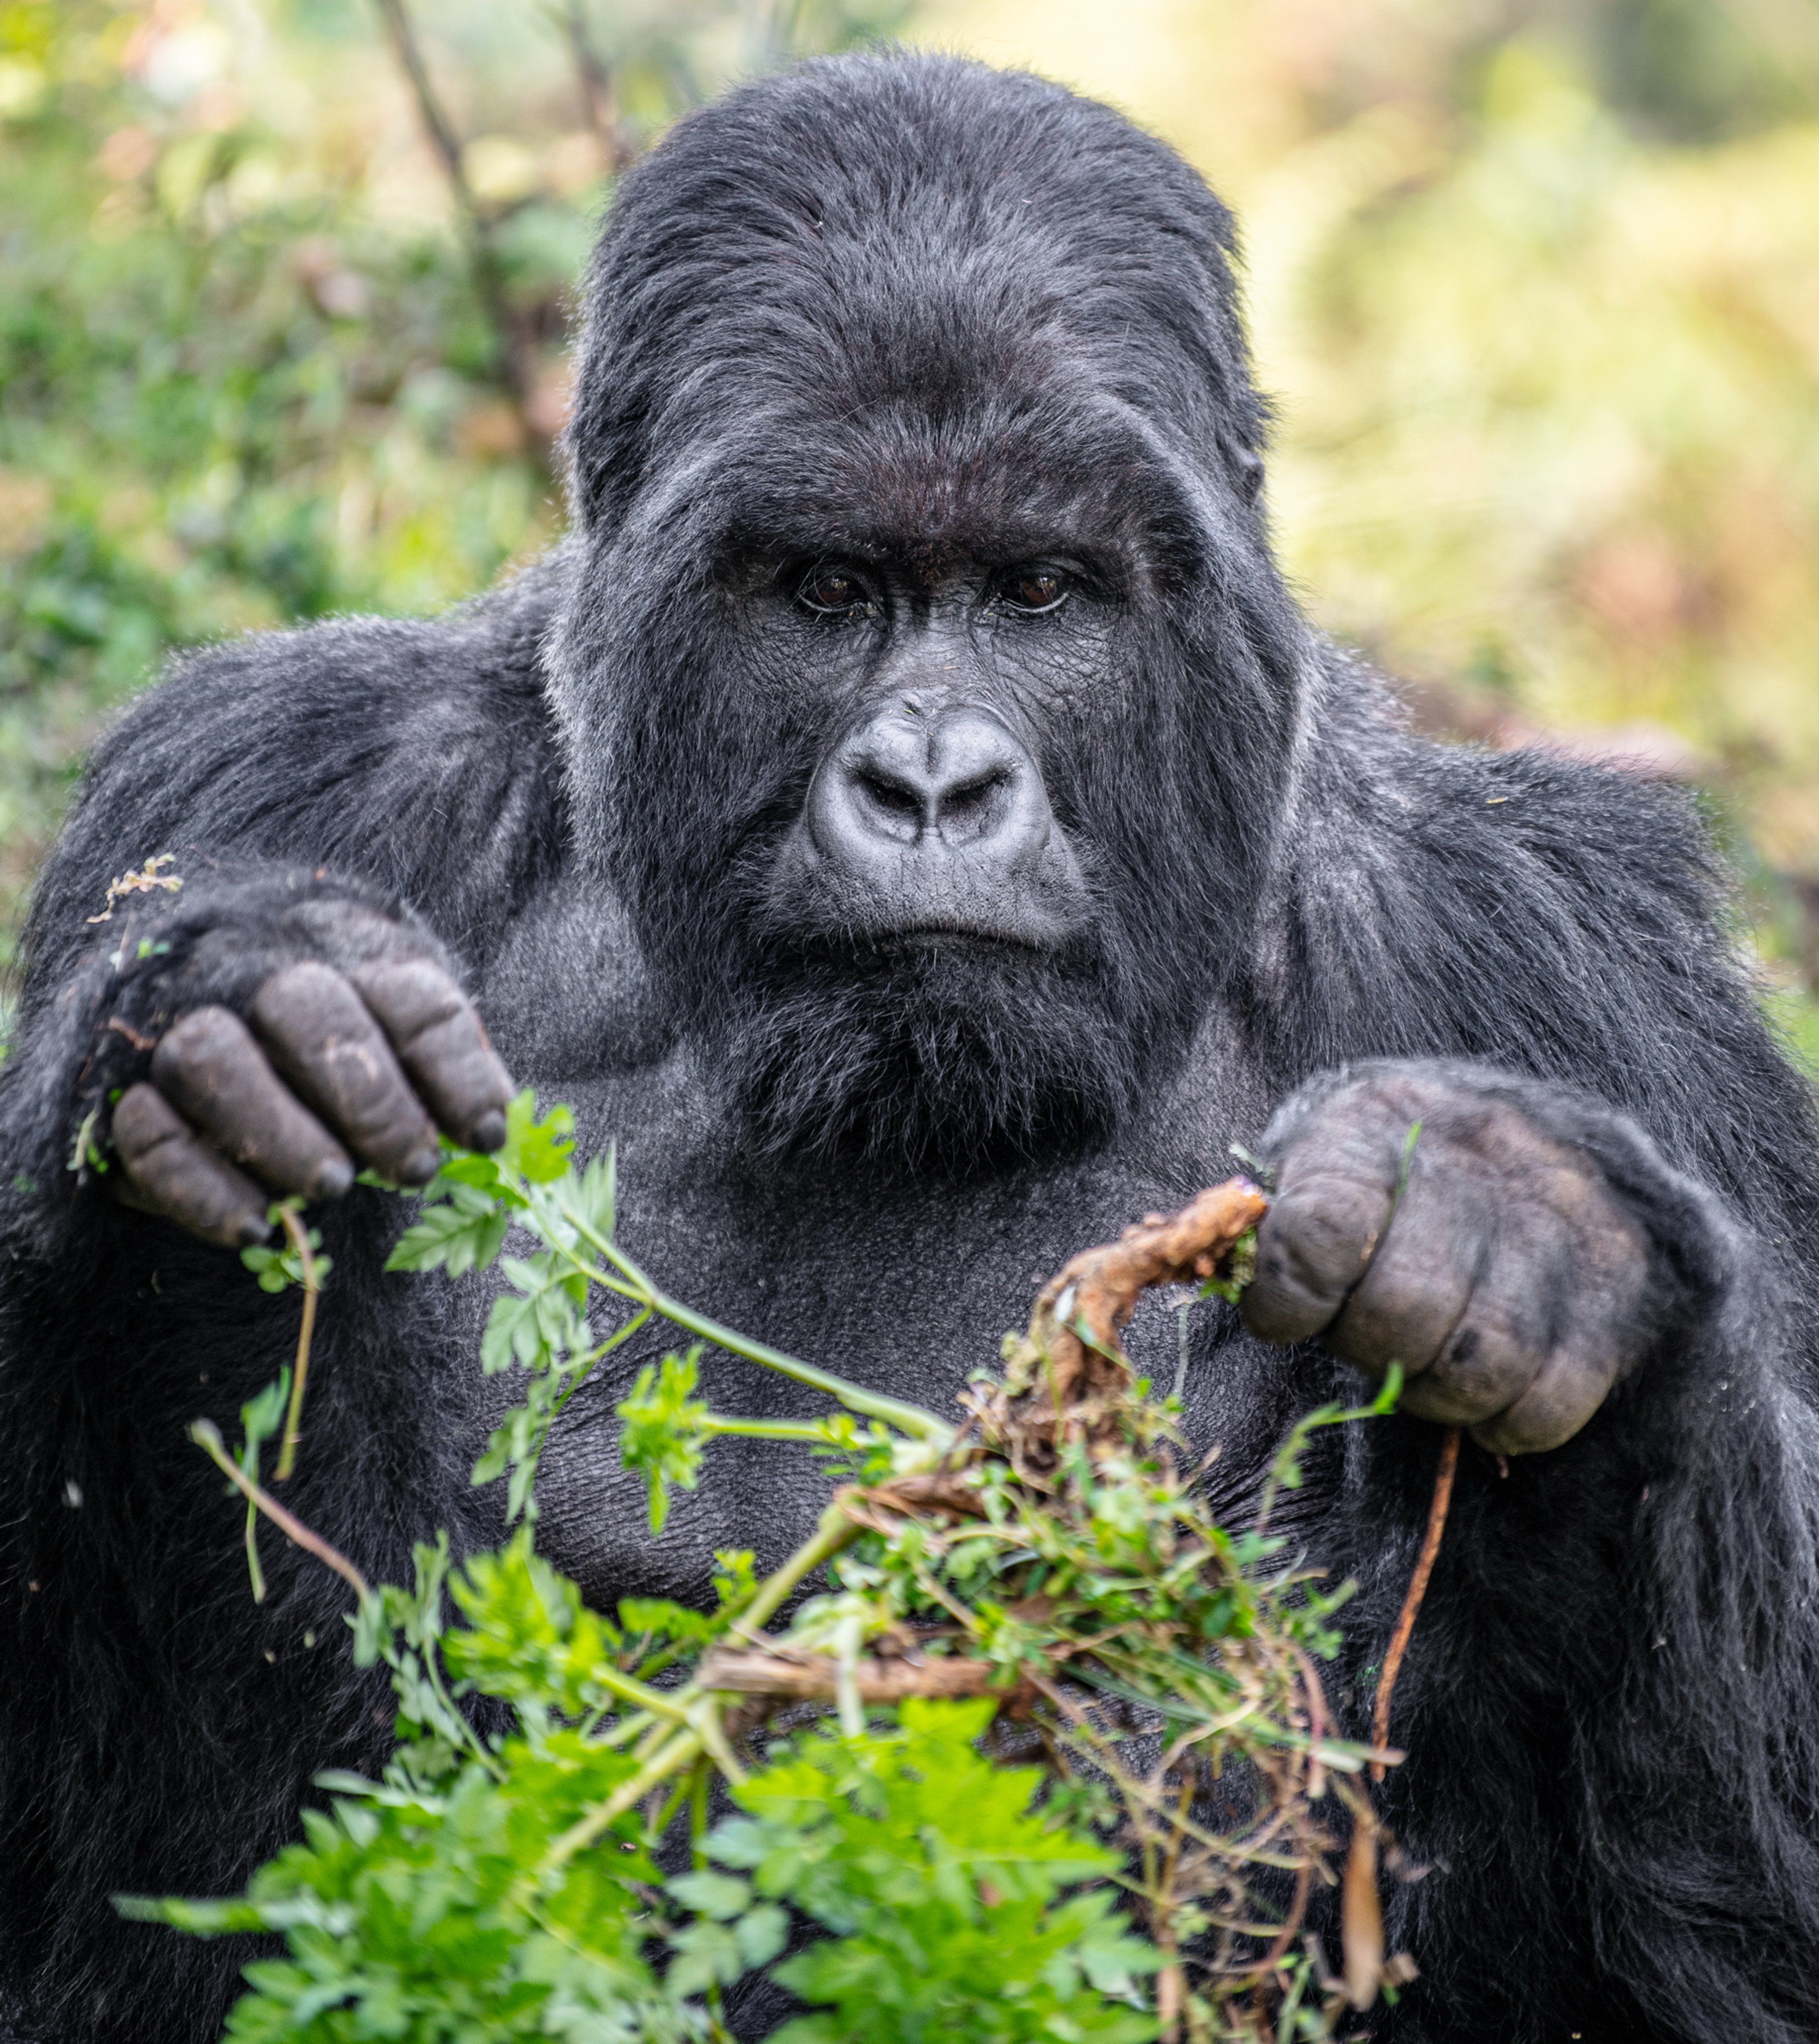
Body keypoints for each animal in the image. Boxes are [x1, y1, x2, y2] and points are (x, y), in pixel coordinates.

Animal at [3, 44, 1815, 2044]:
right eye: (825, 590)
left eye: (1038, 592)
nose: (931, 783)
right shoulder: (268, 774)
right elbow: (137, 1863)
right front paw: (223, 1053)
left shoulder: (1561, 945)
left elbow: (1724, 1919)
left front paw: (1542, 1233)